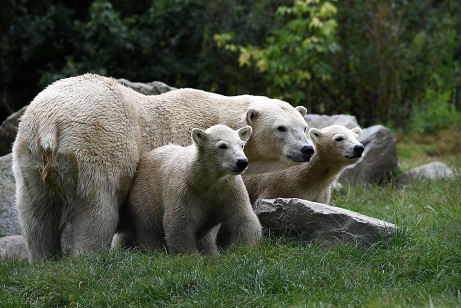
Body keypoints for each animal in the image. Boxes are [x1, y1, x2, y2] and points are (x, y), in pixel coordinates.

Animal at [113, 124, 260, 254]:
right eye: (222, 146)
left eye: (242, 145)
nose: (242, 162)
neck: (205, 182)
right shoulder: (185, 190)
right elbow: (180, 223)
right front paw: (190, 256)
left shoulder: (229, 190)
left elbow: (243, 217)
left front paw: (243, 250)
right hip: (145, 197)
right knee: (149, 230)